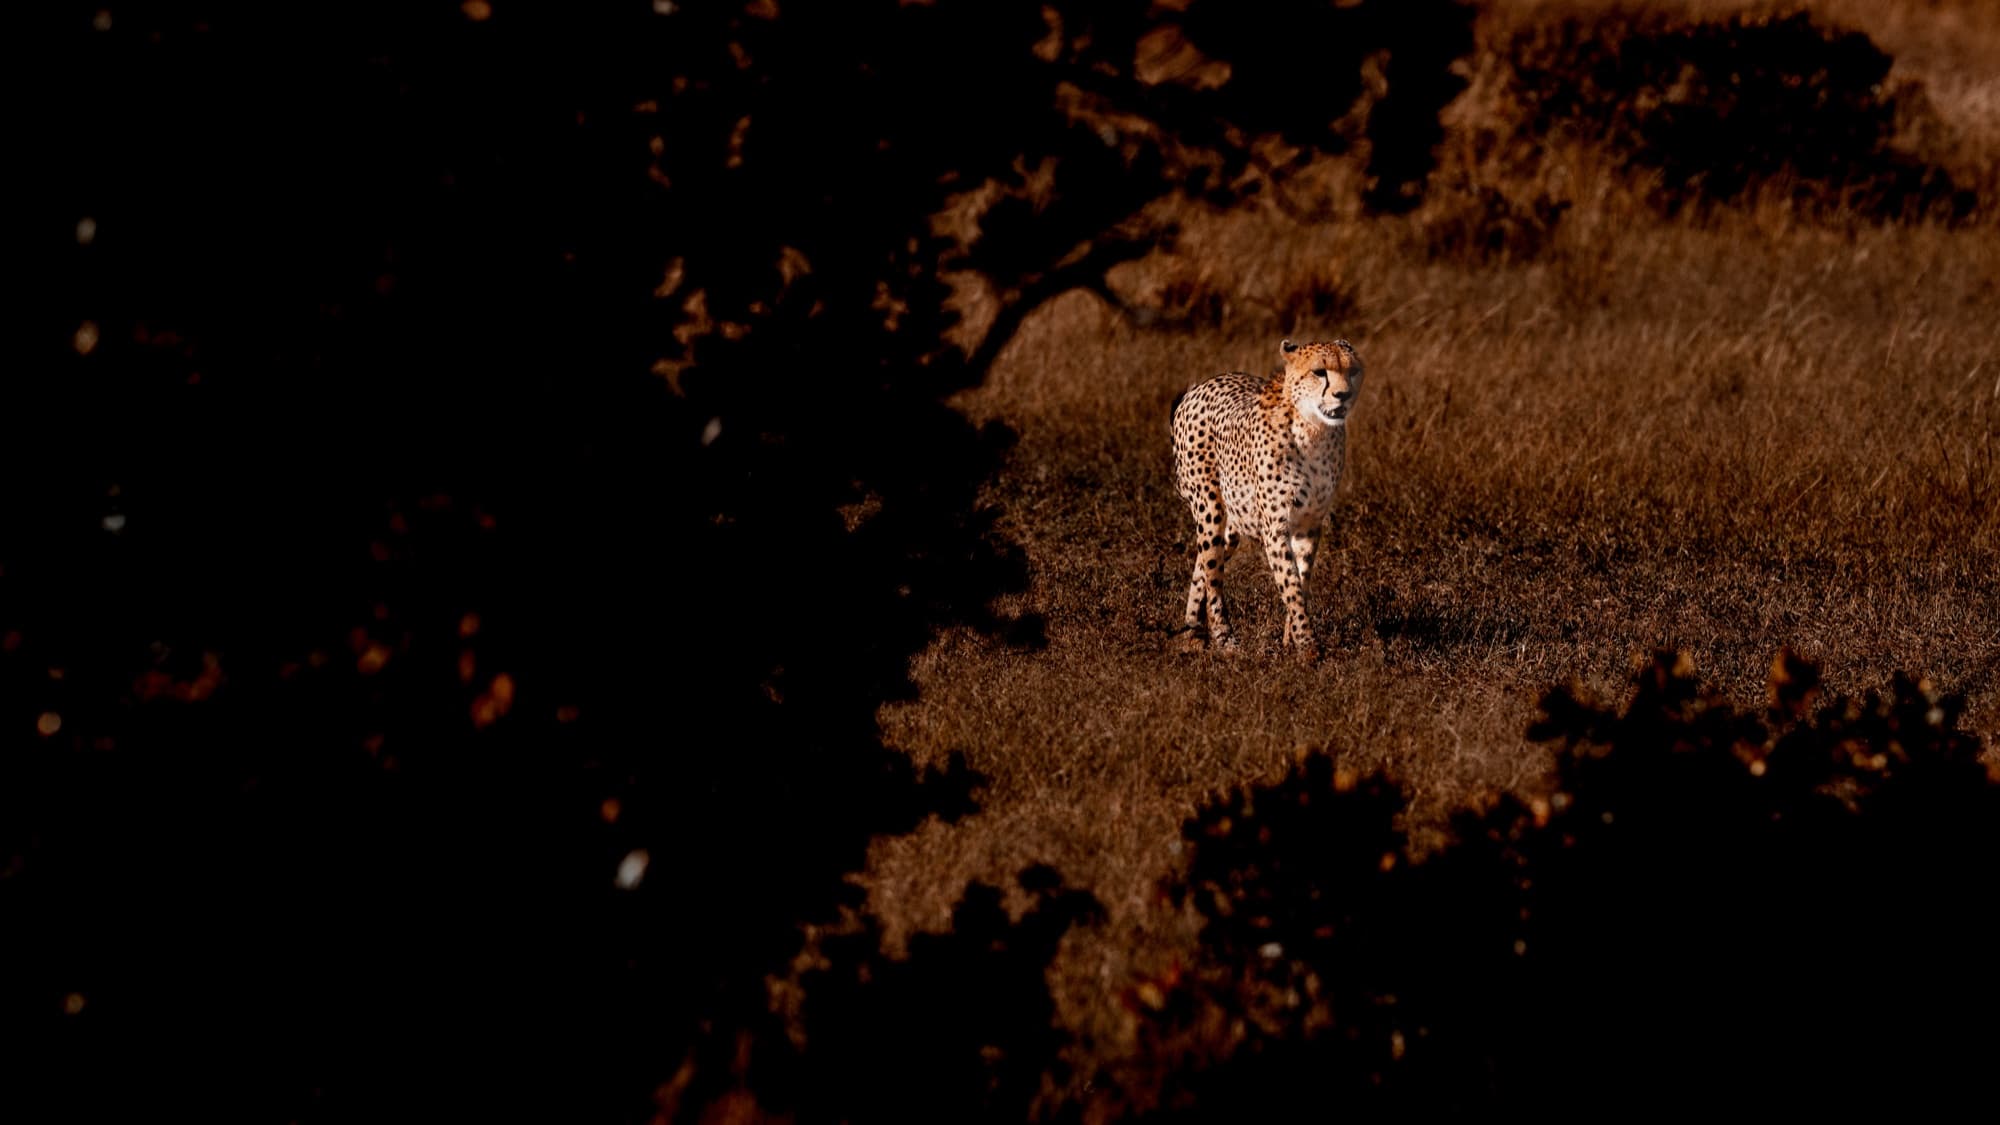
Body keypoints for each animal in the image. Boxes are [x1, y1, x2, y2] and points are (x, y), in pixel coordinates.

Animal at [1170, 337, 1364, 660]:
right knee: (1212, 573)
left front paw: (1290, 638)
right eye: (1319, 372)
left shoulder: (1309, 525)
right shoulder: (1276, 527)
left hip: (1231, 525)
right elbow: (1291, 584)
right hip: (1210, 509)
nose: (1343, 395)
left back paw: (1193, 633)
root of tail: (1198, 387)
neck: (1314, 431)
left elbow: (1302, 580)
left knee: (1203, 566)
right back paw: (1224, 638)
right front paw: (1308, 646)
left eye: (1353, 371)